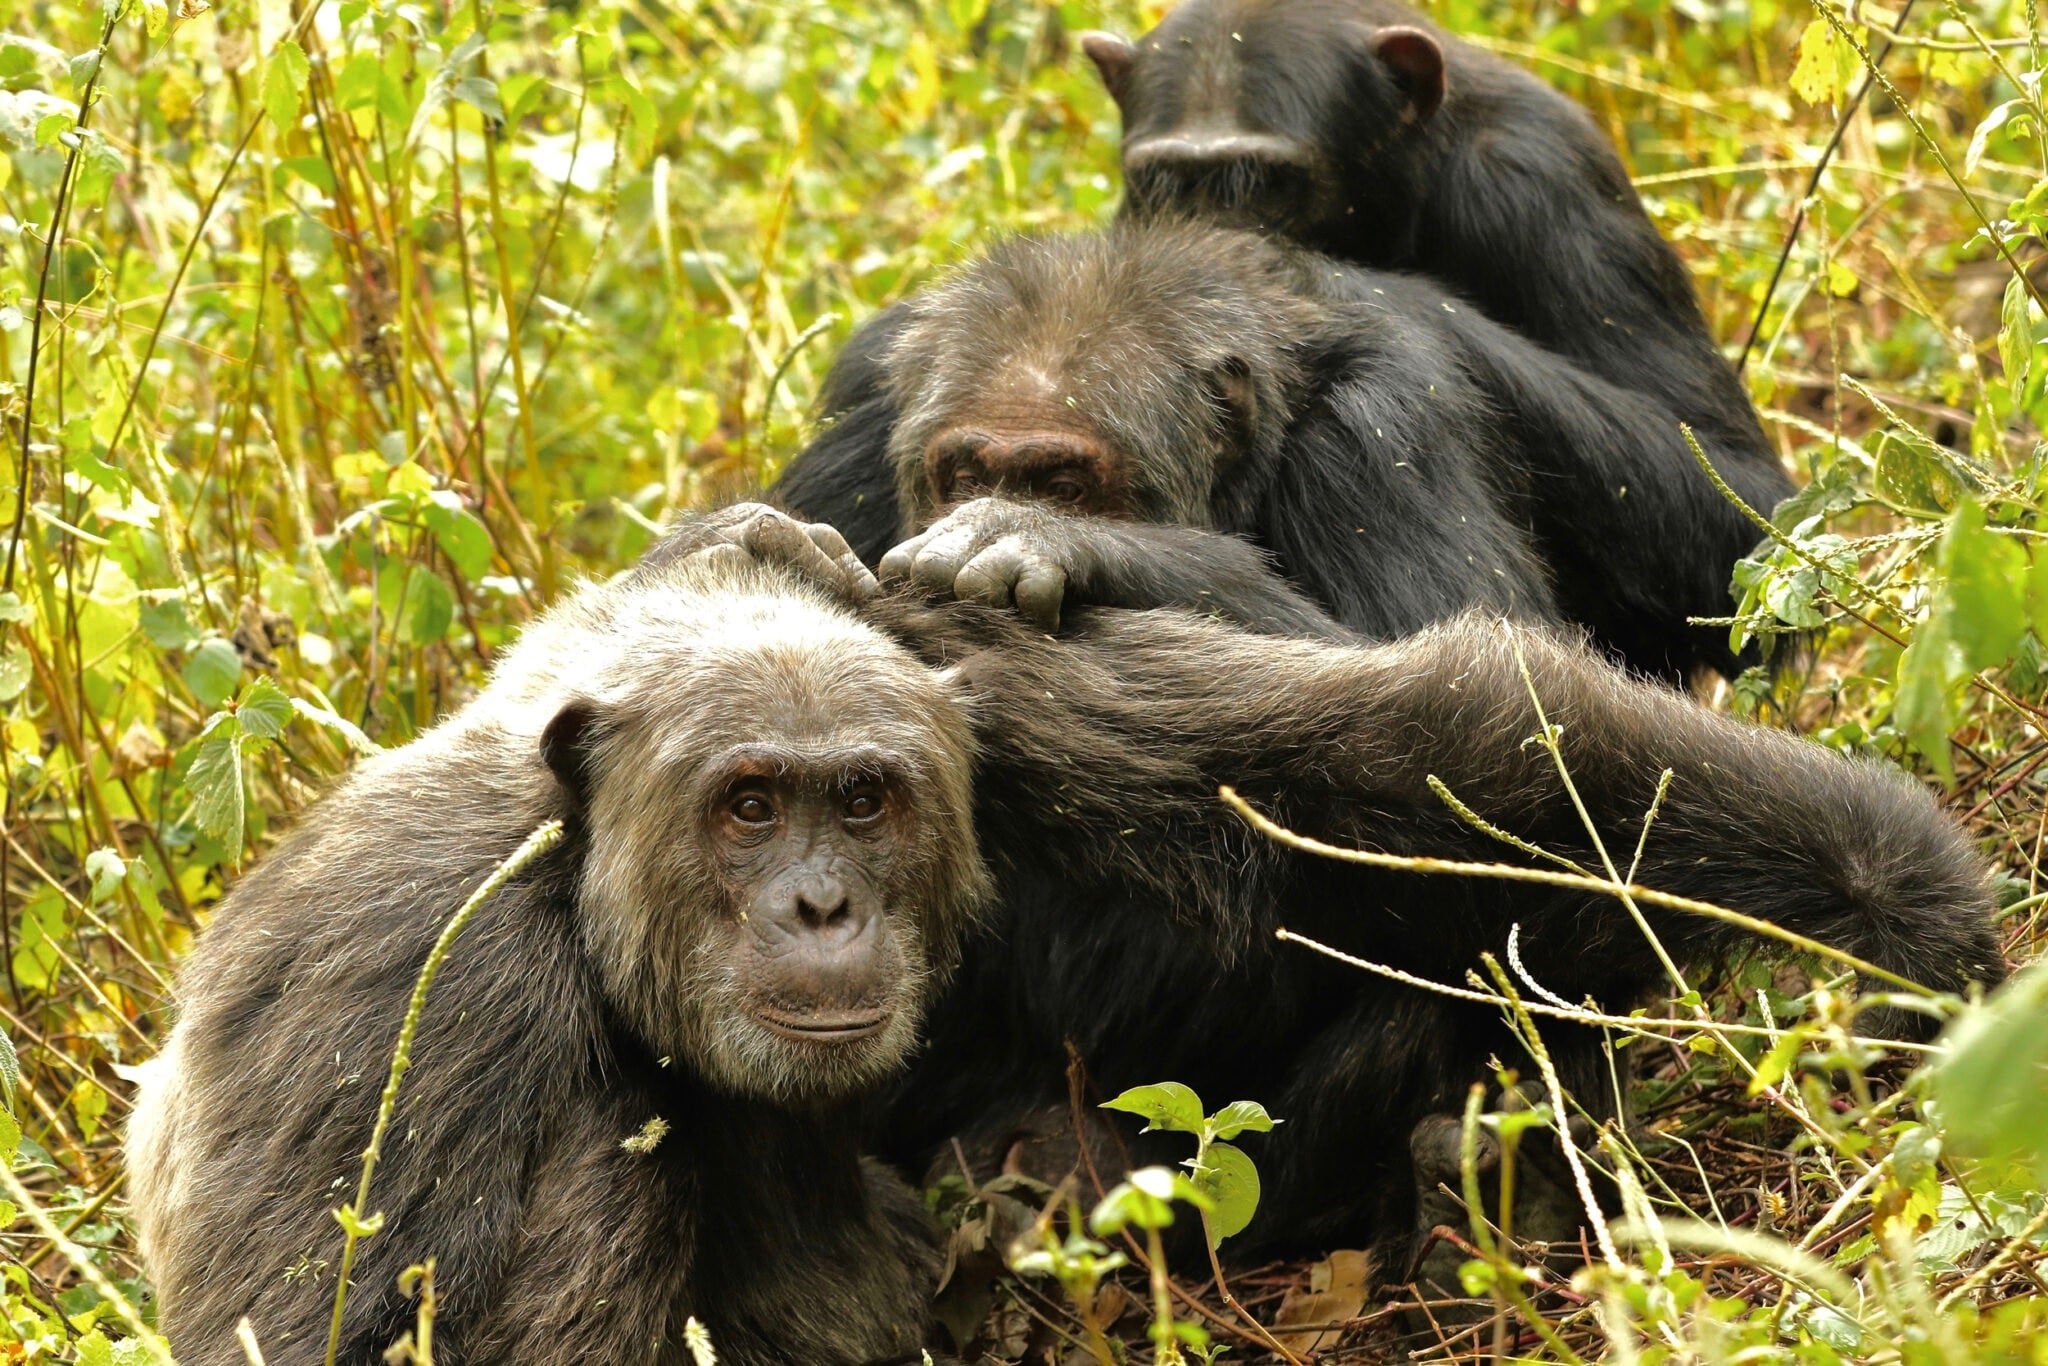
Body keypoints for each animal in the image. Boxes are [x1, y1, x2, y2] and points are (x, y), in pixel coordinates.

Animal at [782, 223, 1794, 684]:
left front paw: (1040, 539)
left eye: (1062, 482)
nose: (978, 505)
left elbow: (1497, 679)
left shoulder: (1382, 432)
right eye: (963, 472)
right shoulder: (866, 419)